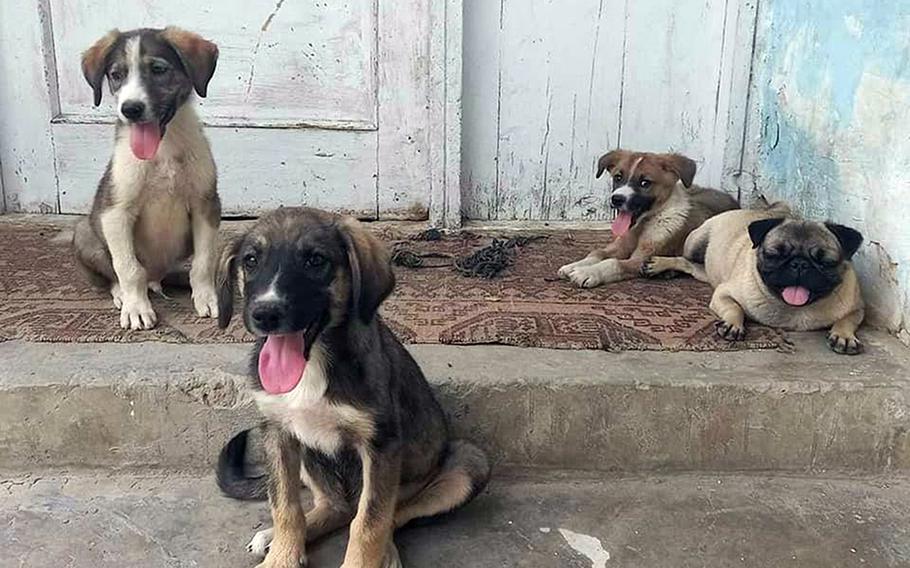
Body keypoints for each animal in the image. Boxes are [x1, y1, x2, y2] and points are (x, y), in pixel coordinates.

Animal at [71, 27, 221, 328]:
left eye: (158, 69)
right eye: (116, 75)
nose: (131, 109)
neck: (162, 152)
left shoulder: (206, 204)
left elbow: (204, 262)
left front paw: (207, 299)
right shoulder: (115, 212)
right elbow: (128, 268)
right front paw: (137, 308)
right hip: (84, 232)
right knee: (114, 275)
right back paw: (122, 295)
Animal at [213, 209, 492, 568]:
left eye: (315, 261)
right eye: (250, 260)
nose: (265, 313)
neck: (315, 361)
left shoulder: (380, 444)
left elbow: (370, 521)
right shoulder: (277, 433)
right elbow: (285, 506)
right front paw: (282, 557)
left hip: (468, 462)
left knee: (388, 513)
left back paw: (387, 553)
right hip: (308, 458)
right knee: (335, 507)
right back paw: (274, 537)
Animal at [556, 150, 740, 288]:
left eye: (645, 183)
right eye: (618, 177)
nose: (616, 199)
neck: (641, 227)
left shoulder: (640, 260)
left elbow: (613, 263)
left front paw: (588, 272)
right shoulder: (619, 246)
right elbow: (598, 253)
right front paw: (575, 265)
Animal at [644, 202, 864, 356]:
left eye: (825, 262)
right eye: (774, 255)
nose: (799, 264)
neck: (794, 311)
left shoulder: (857, 308)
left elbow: (846, 320)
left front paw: (844, 336)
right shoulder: (723, 294)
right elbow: (735, 308)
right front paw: (732, 325)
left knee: (694, 268)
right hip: (695, 242)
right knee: (685, 259)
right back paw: (661, 266)